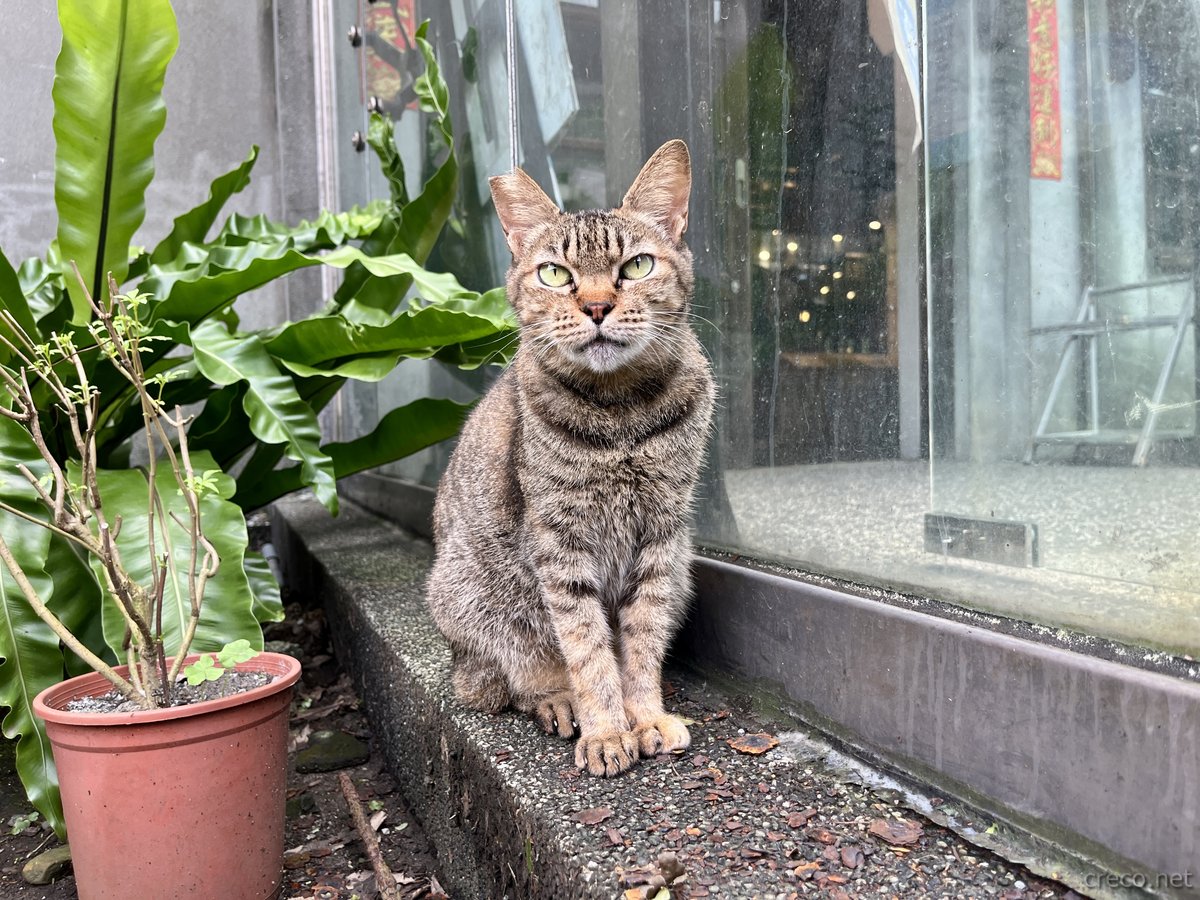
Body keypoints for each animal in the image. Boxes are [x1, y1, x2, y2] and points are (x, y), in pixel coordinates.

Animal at [426, 140, 714, 777]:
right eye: (555, 274)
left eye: (637, 266)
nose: (599, 306)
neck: (621, 414)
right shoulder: (560, 544)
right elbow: (587, 649)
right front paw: (607, 730)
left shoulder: (662, 537)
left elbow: (641, 640)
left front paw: (645, 716)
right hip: (473, 600)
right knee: (507, 679)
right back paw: (558, 702)